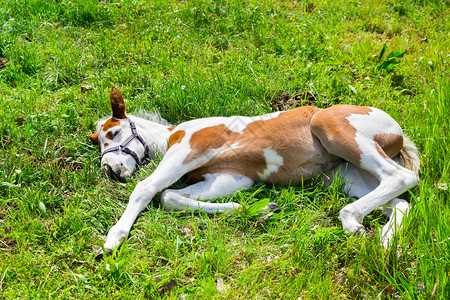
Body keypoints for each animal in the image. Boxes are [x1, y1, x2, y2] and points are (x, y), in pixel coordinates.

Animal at [88, 88, 418, 256]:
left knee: (403, 177)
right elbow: (171, 197)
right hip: (344, 177)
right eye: (99, 144)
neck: (174, 134)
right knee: (400, 200)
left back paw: (353, 224)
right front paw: (255, 209)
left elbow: (147, 188)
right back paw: (386, 244)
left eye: (114, 133)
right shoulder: (230, 177)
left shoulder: (190, 150)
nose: (110, 170)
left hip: (335, 131)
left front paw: (114, 238)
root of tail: (398, 132)